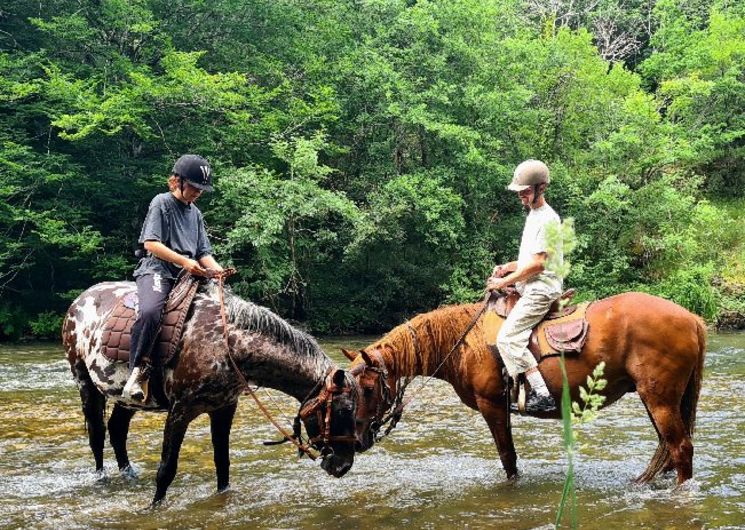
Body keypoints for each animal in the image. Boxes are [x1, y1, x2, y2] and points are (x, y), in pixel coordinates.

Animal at [61, 278, 358, 502]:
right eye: (342, 410)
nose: (342, 465)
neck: (227, 345)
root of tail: (79, 300)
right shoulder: (180, 411)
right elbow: (166, 469)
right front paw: (154, 507)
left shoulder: (224, 408)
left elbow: (222, 463)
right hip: (85, 382)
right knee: (97, 433)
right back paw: (102, 477)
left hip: (129, 399)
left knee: (117, 429)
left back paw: (128, 473)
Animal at [342, 290, 704, 484]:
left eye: (369, 389)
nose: (358, 439)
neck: (466, 342)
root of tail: (692, 318)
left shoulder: (491, 404)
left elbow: (508, 458)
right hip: (655, 397)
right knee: (667, 448)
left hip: (659, 398)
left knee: (680, 448)